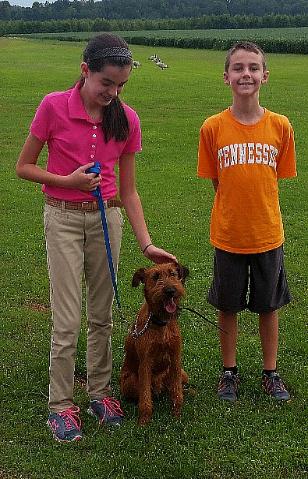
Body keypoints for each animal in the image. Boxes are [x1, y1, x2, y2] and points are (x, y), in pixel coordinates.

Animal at [119, 262, 188, 428]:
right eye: (155, 277)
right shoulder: (145, 364)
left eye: (173, 274)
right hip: (130, 382)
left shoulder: (175, 359)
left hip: (183, 374)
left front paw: (177, 416)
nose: (170, 291)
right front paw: (144, 422)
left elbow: (177, 393)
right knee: (142, 394)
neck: (160, 324)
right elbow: (145, 398)